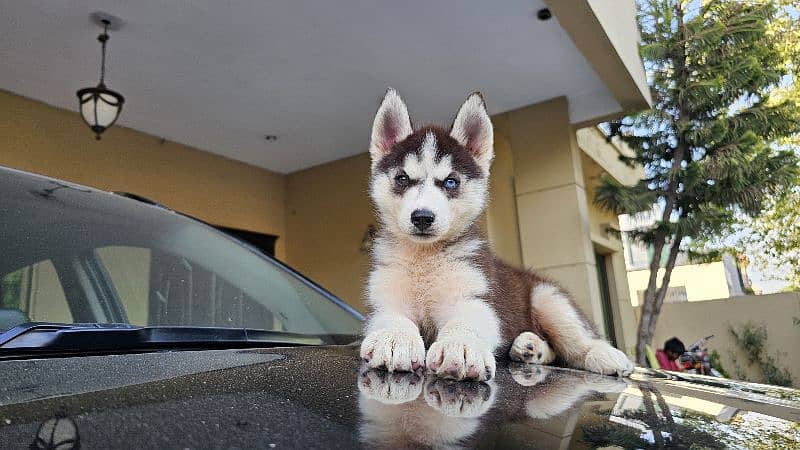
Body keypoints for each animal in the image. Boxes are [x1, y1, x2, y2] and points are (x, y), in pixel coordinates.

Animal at [360, 89, 632, 382]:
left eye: (451, 182)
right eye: (402, 178)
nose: (422, 217)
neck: (425, 258)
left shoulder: (478, 298)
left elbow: (465, 321)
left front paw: (461, 345)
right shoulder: (384, 299)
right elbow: (393, 316)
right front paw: (395, 337)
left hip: (548, 298)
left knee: (577, 340)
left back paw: (603, 354)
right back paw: (531, 347)